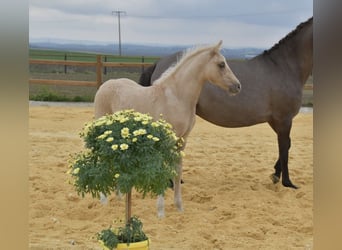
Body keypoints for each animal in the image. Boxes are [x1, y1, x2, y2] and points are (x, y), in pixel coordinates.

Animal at [93, 41, 240, 217]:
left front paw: (179, 207)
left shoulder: (182, 141)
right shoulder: (167, 140)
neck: (177, 97)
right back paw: (104, 199)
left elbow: (177, 171)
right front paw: (161, 211)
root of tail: (104, 86)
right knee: (102, 159)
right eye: (221, 64)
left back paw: (119, 196)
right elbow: (165, 171)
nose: (237, 86)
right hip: (103, 131)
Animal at [139, 17, 312, 189]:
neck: (284, 67)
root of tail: (158, 63)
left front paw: (276, 174)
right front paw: (288, 182)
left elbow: (286, 145)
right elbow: (285, 147)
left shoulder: (276, 121)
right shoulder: (284, 119)